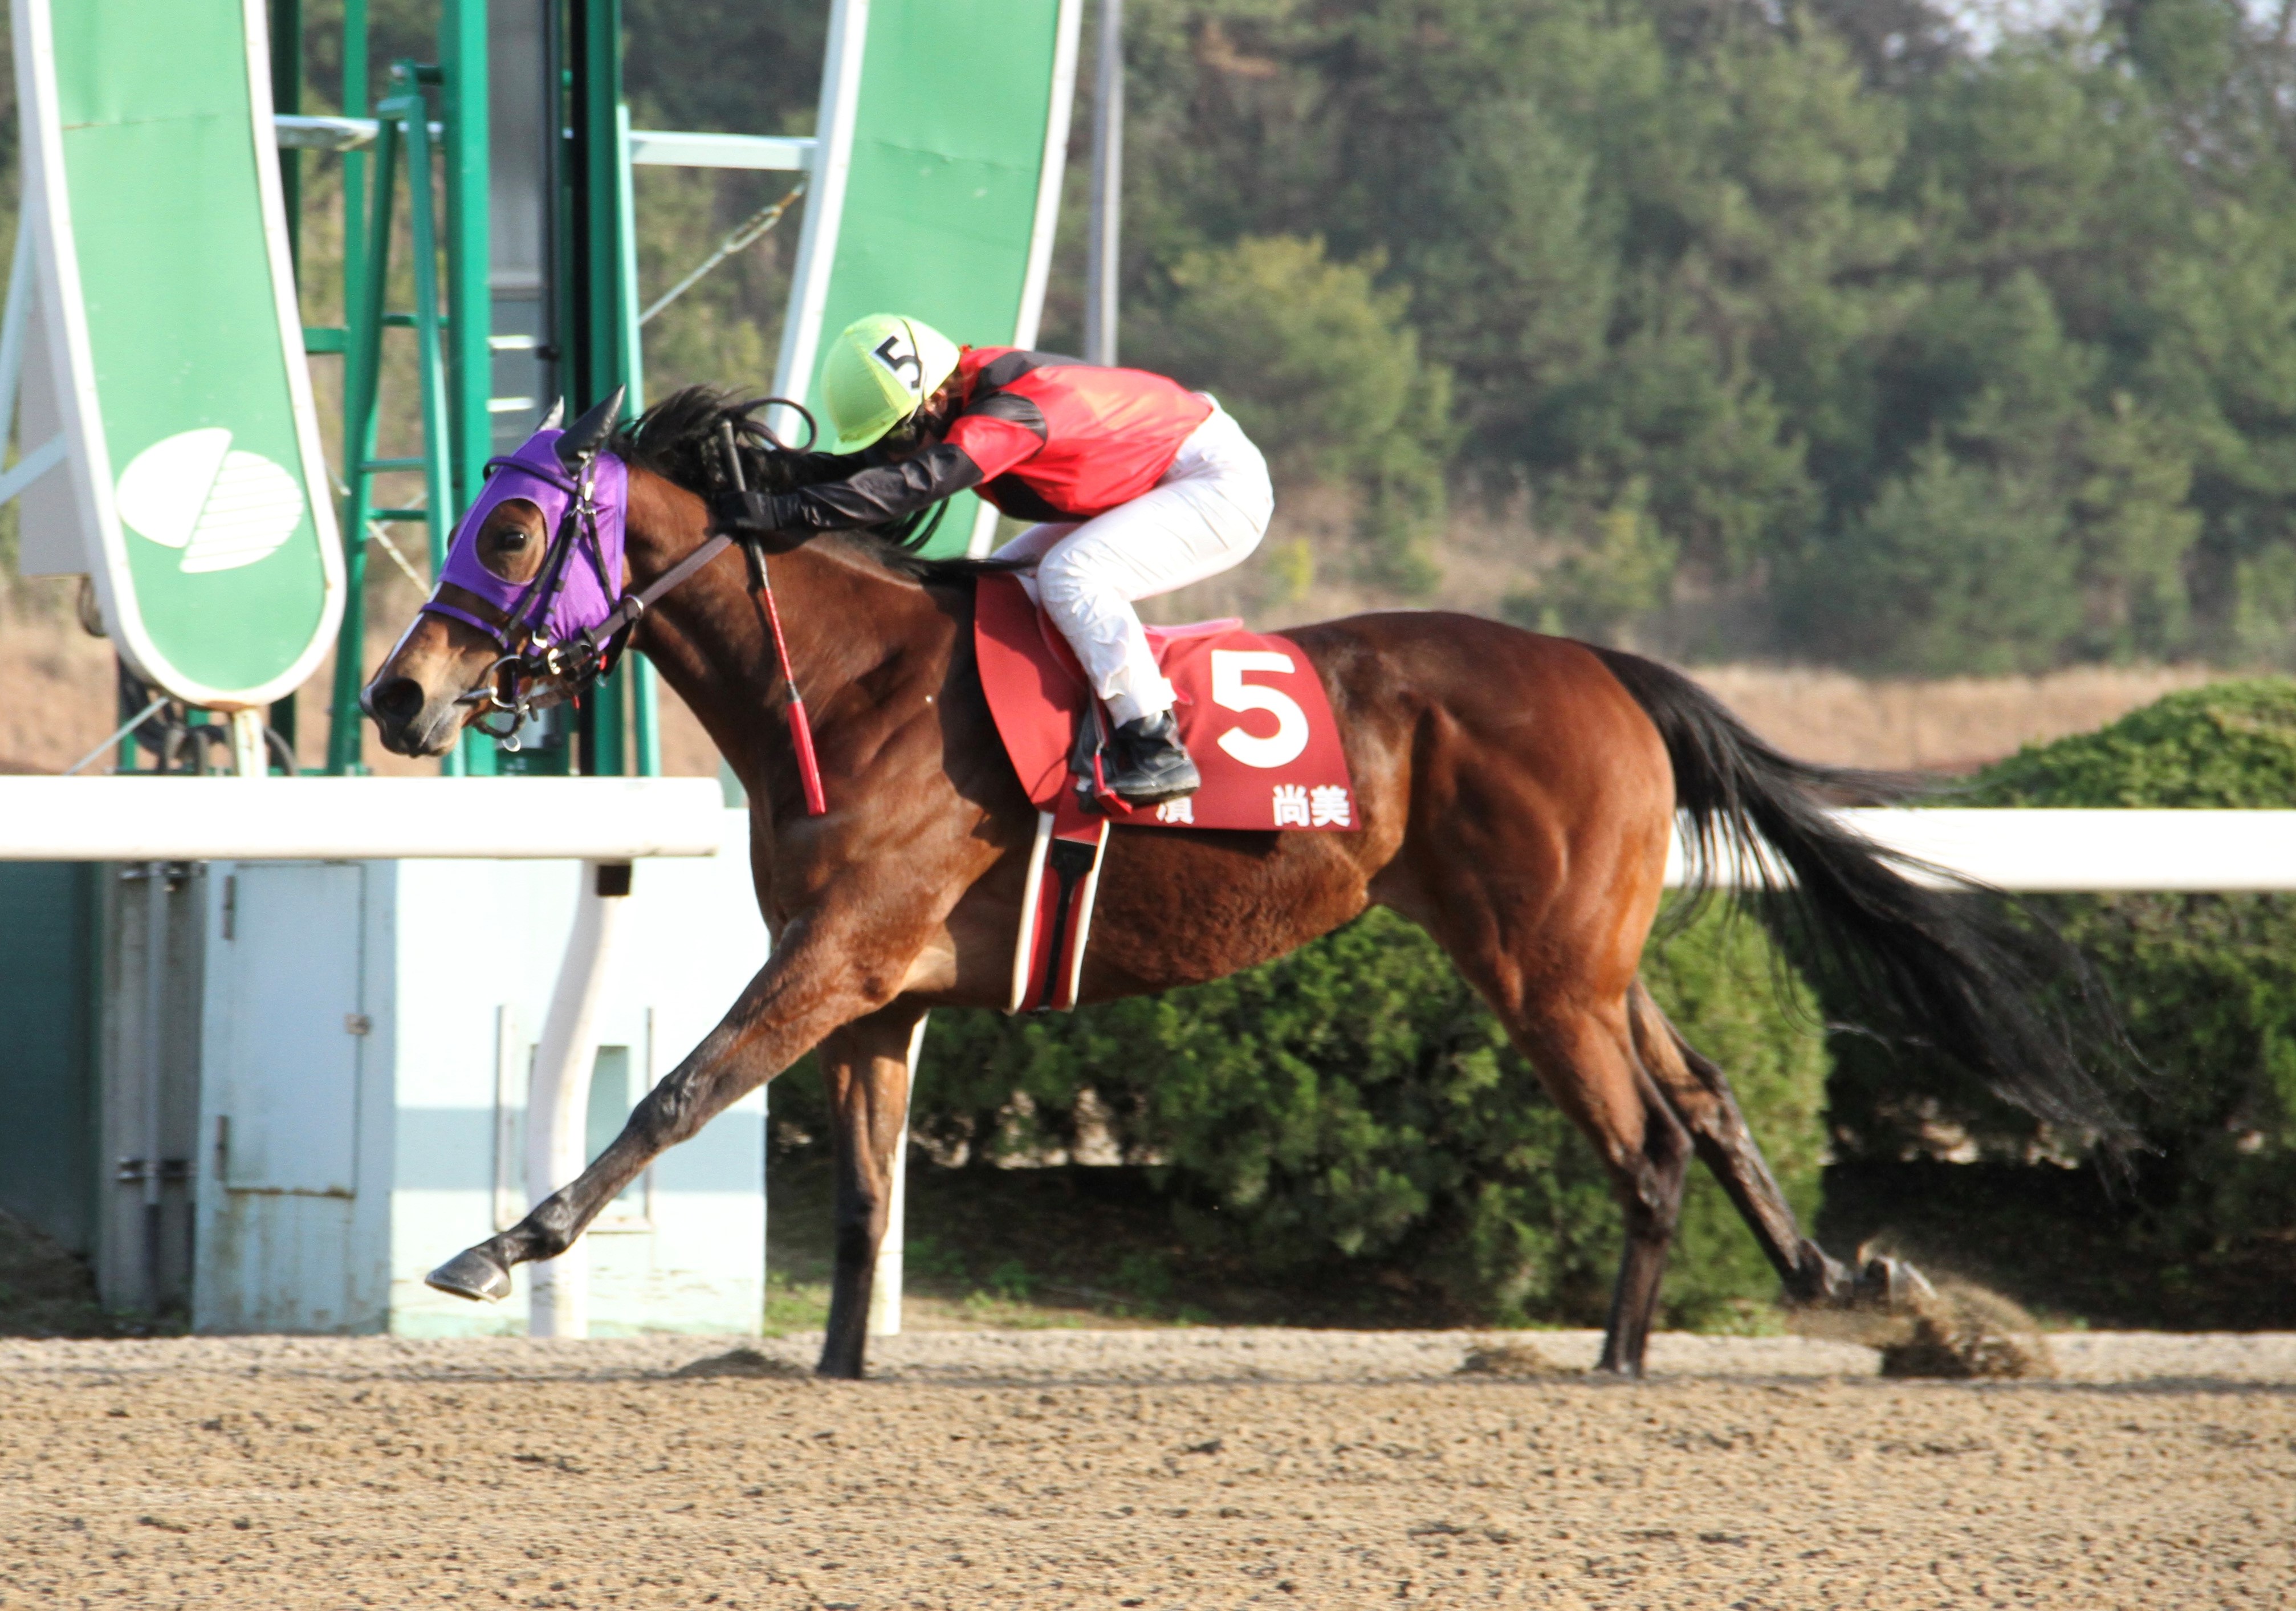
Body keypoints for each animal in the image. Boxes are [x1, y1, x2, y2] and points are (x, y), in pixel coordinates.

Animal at [363, 386, 2127, 1379]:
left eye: (511, 530)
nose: (396, 696)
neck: (851, 687)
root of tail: (1605, 668)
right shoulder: (875, 989)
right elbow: (862, 1193)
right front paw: (840, 1369)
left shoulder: (841, 954)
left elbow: (675, 1091)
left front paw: (496, 1246)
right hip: (1584, 955)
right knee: (1700, 1093)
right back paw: (1846, 1280)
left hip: (1539, 967)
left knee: (1641, 1140)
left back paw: (1616, 1366)